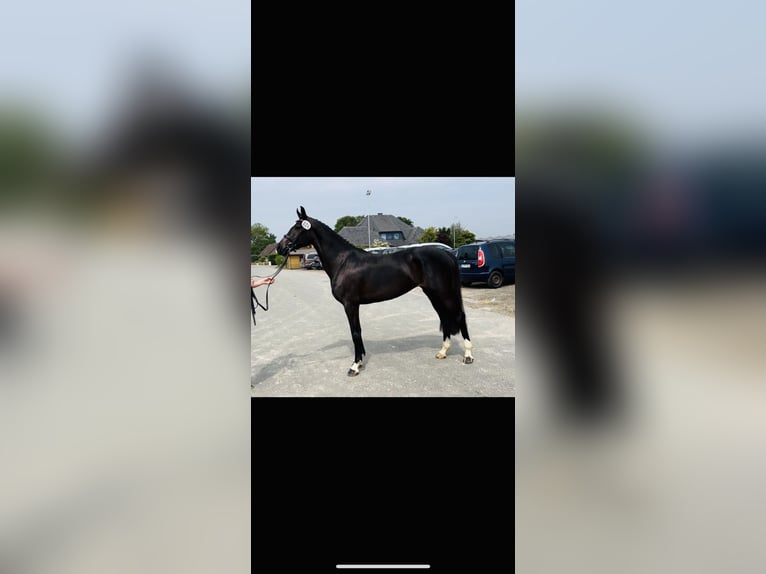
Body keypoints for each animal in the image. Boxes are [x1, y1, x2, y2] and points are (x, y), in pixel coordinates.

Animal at [276, 206, 474, 376]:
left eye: (297, 227)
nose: (280, 247)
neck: (343, 261)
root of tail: (447, 253)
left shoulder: (350, 304)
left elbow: (355, 332)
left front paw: (355, 366)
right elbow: (357, 331)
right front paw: (360, 360)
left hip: (444, 293)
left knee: (459, 316)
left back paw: (468, 356)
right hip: (433, 294)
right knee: (444, 317)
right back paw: (443, 352)